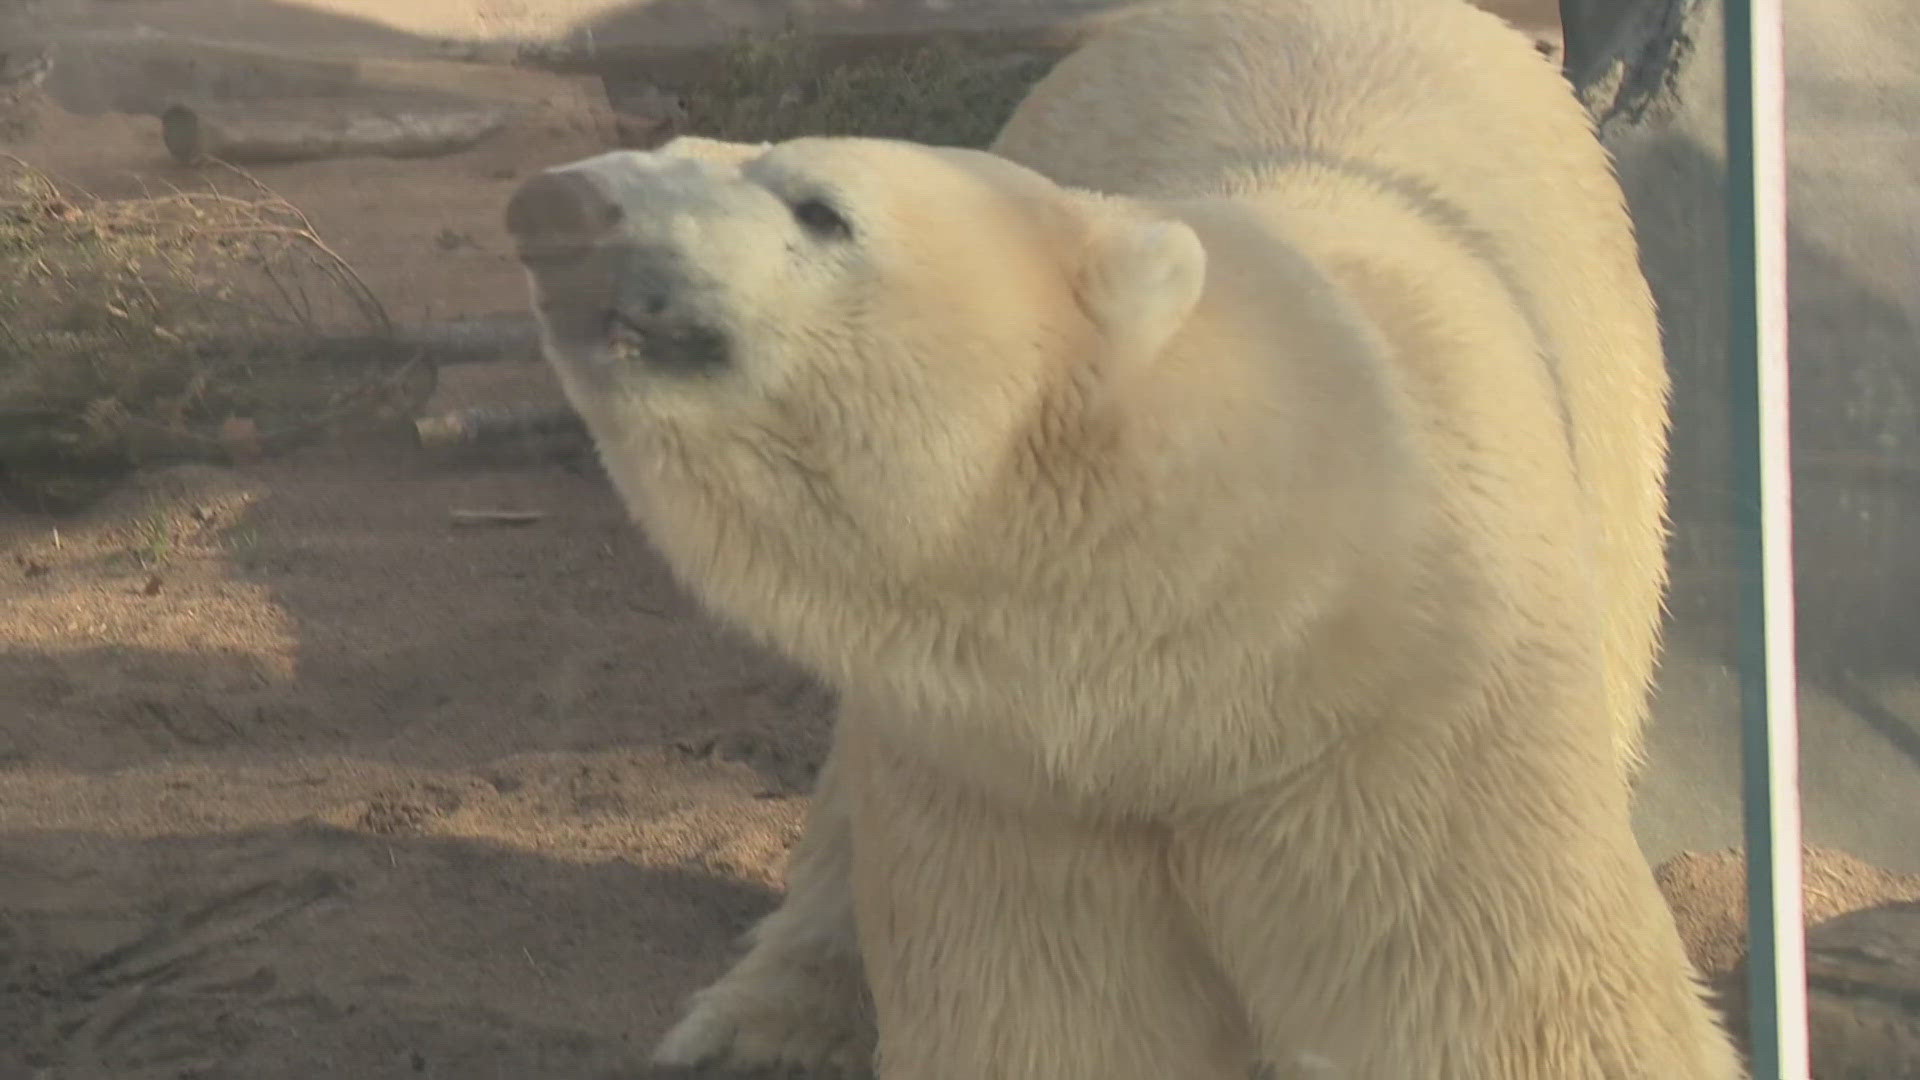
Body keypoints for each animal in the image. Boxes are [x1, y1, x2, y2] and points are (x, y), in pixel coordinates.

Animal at [506, 0, 1743, 1068]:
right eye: (682, 144)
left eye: (821, 207)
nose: (557, 208)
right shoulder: (1020, 783)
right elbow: (1041, 1026)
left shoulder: (1432, 721)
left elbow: (1524, 1011)